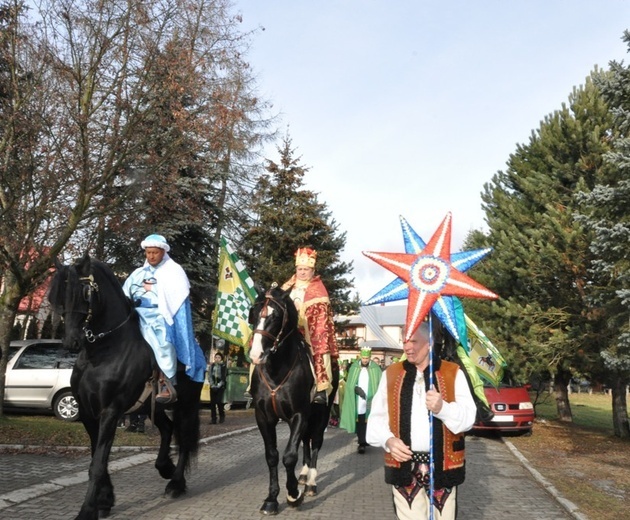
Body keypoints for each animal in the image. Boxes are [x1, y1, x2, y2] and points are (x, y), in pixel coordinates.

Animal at [49, 256, 202, 520]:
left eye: (85, 292)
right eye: (59, 294)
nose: (71, 341)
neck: (102, 352)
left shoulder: (111, 411)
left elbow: (97, 464)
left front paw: (87, 510)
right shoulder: (88, 412)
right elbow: (97, 458)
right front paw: (105, 500)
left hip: (186, 406)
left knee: (183, 440)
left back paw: (176, 484)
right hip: (152, 407)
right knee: (167, 429)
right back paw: (165, 468)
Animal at [248, 286, 340, 512]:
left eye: (276, 316)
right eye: (254, 313)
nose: (256, 355)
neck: (276, 371)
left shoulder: (299, 414)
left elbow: (289, 456)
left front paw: (292, 495)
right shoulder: (264, 417)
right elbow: (272, 456)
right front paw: (271, 499)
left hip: (321, 414)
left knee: (315, 443)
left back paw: (311, 483)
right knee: (306, 442)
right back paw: (304, 476)